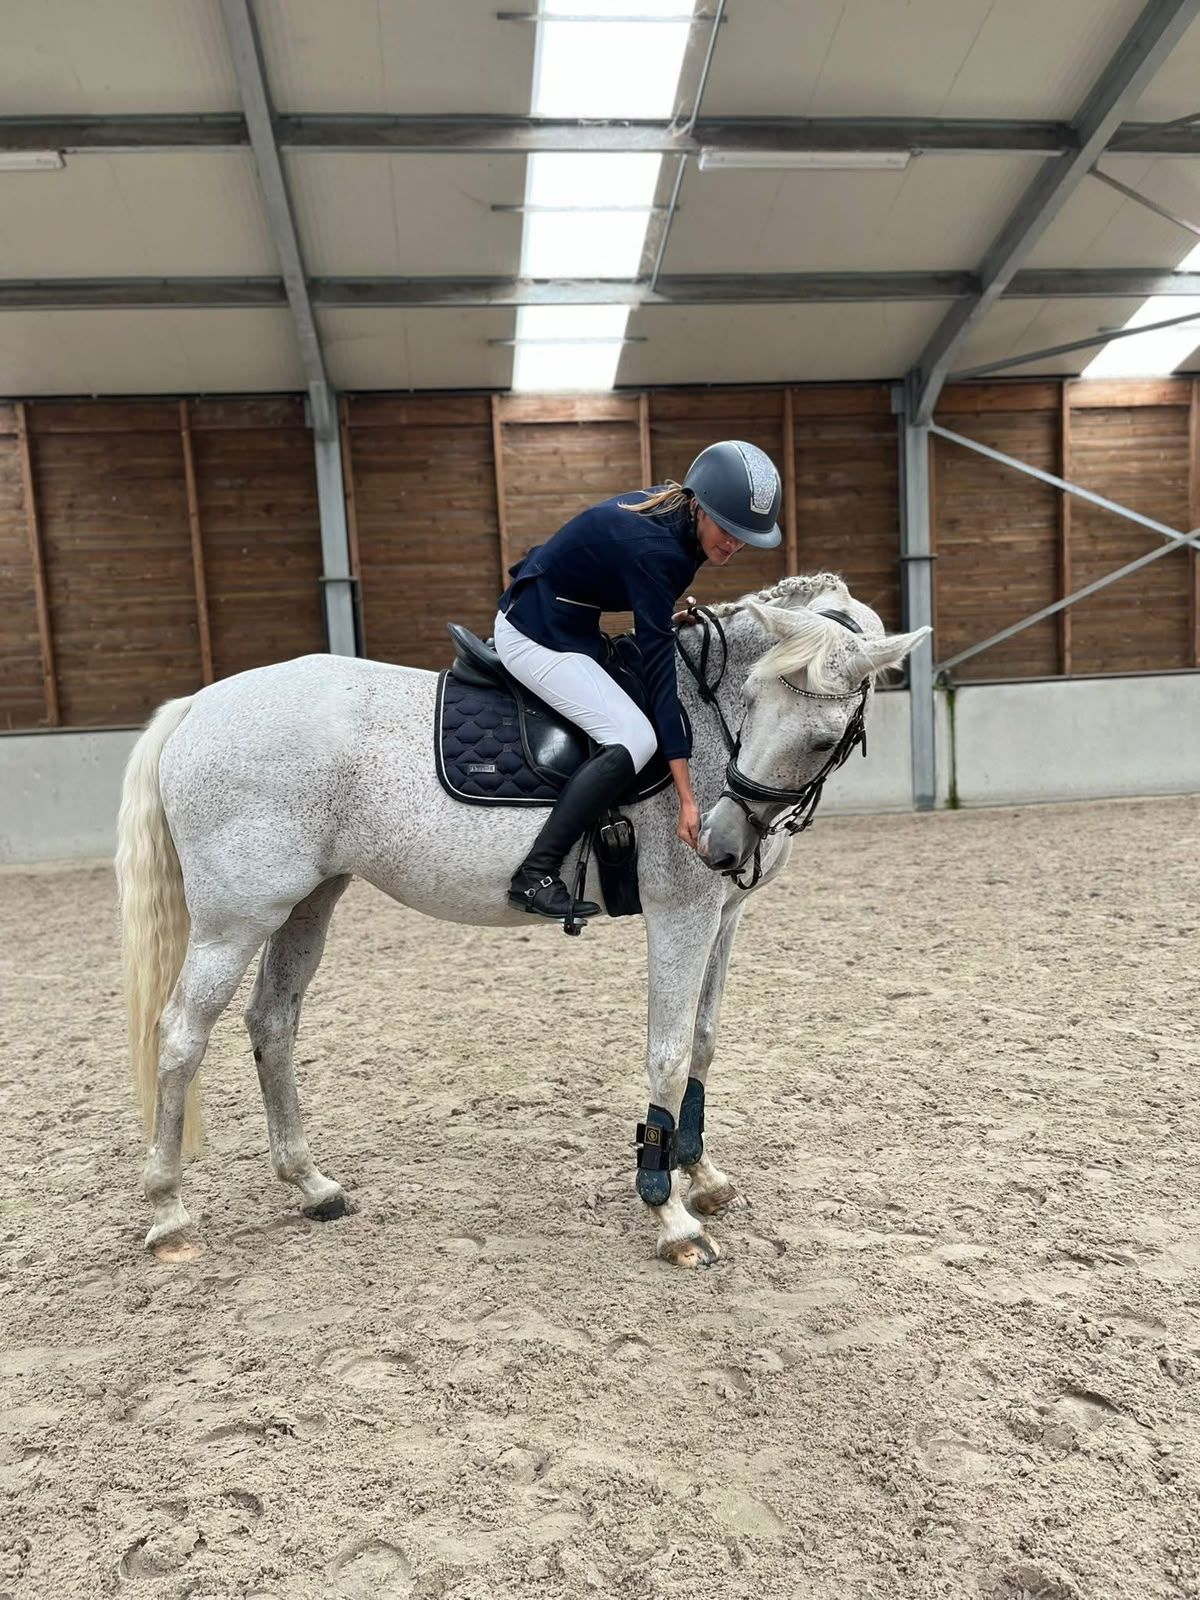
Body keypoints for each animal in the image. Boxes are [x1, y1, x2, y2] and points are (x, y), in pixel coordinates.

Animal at [115, 572, 927, 1269]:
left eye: (818, 738)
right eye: (755, 703)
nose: (719, 840)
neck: (702, 722)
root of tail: (200, 705)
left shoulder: (725, 916)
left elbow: (701, 1043)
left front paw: (702, 1177)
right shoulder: (682, 915)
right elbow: (666, 1055)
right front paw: (668, 1214)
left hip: (306, 904)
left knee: (272, 1022)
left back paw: (312, 1186)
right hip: (234, 920)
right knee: (182, 1035)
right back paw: (170, 1215)